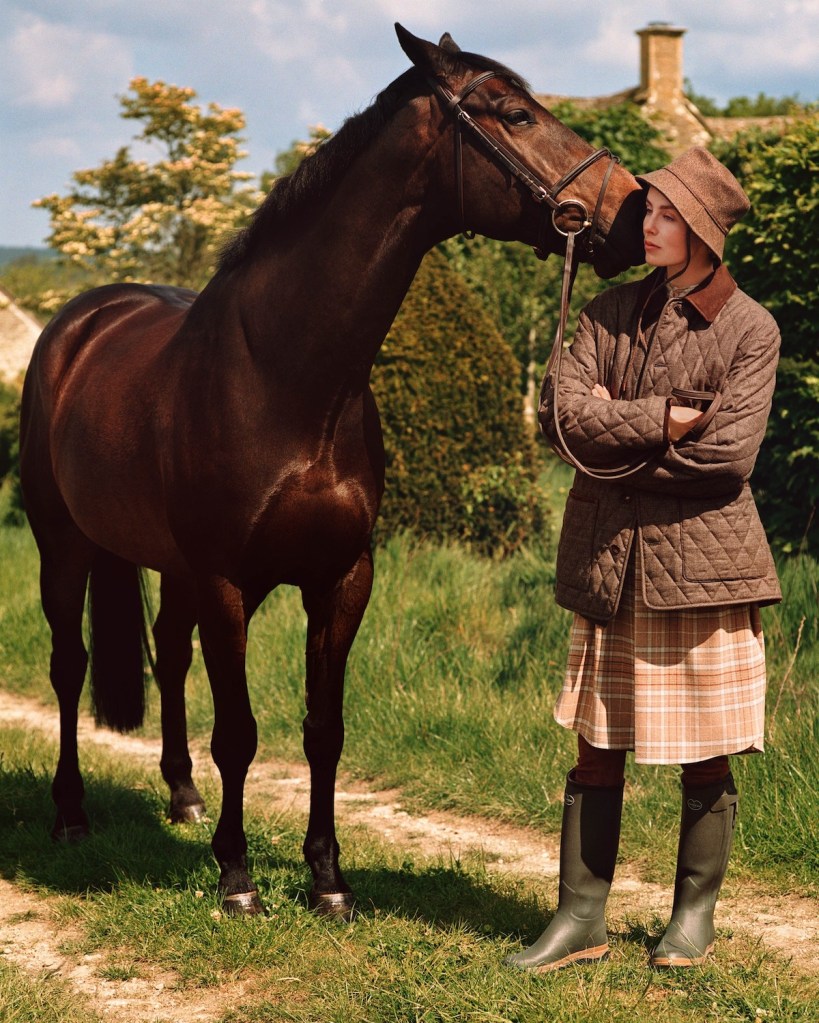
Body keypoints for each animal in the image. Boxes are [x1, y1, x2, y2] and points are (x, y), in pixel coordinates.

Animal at [20, 24, 645, 917]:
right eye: (516, 112)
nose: (633, 210)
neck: (286, 375)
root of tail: (80, 321)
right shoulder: (228, 581)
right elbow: (240, 732)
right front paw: (238, 879)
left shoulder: (342, 577)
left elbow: (324, 728)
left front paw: (326, 879)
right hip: (64, 543)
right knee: (69, 667)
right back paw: (70, 814)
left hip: (169, 567)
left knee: (168, 655)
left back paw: (182, 796)